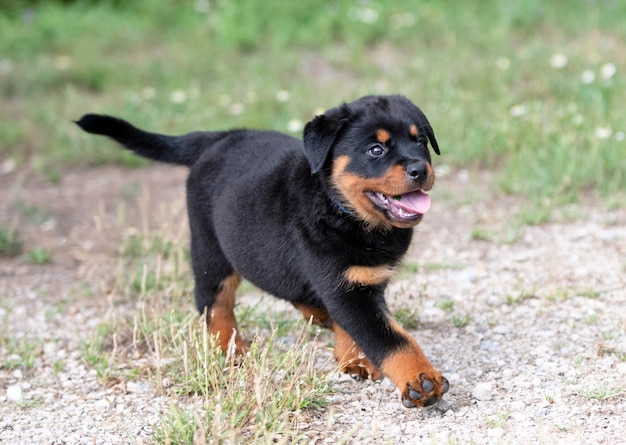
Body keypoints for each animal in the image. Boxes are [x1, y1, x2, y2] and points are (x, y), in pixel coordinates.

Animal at [75, 95, 448, 408]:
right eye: (375, 150)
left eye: (420, 142)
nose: (420, 169)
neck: (341, 209)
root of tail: (219, 138)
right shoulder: (344, 286)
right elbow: (392, 339)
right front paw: (420, 379)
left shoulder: (362, 283)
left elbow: (361, 328)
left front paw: (353, 359)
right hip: (211, 249)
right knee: (214, 301)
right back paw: (230, 347)